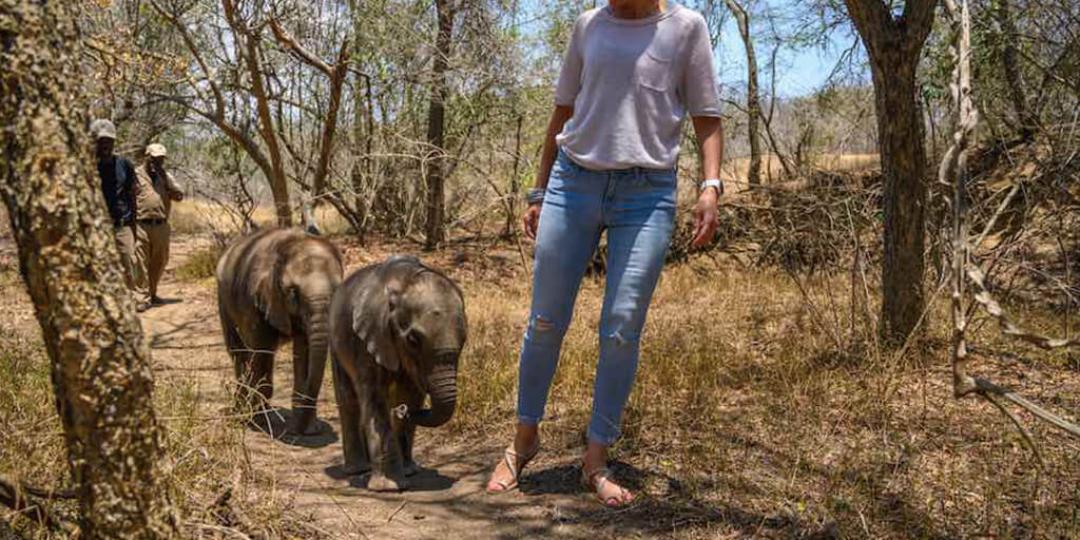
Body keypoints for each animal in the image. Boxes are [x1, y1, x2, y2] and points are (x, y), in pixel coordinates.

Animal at [214, 226, 341, 434]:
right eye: (293, 292)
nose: (296, 430)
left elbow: (305, 352)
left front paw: (309, 430)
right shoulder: (254, 298)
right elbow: (261, 350)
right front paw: (259, 422)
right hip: (223, 299)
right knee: (239, 352)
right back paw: (242, 413)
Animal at [328, 254, 464, 492]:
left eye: (464, 339)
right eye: (413, 340)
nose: (401, 410)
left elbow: (411, 394)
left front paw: (408, 472)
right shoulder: (368, 338)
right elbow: (376, 401)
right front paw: (388, 487)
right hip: (336, 341)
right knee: (349, 400)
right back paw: (357, 470)